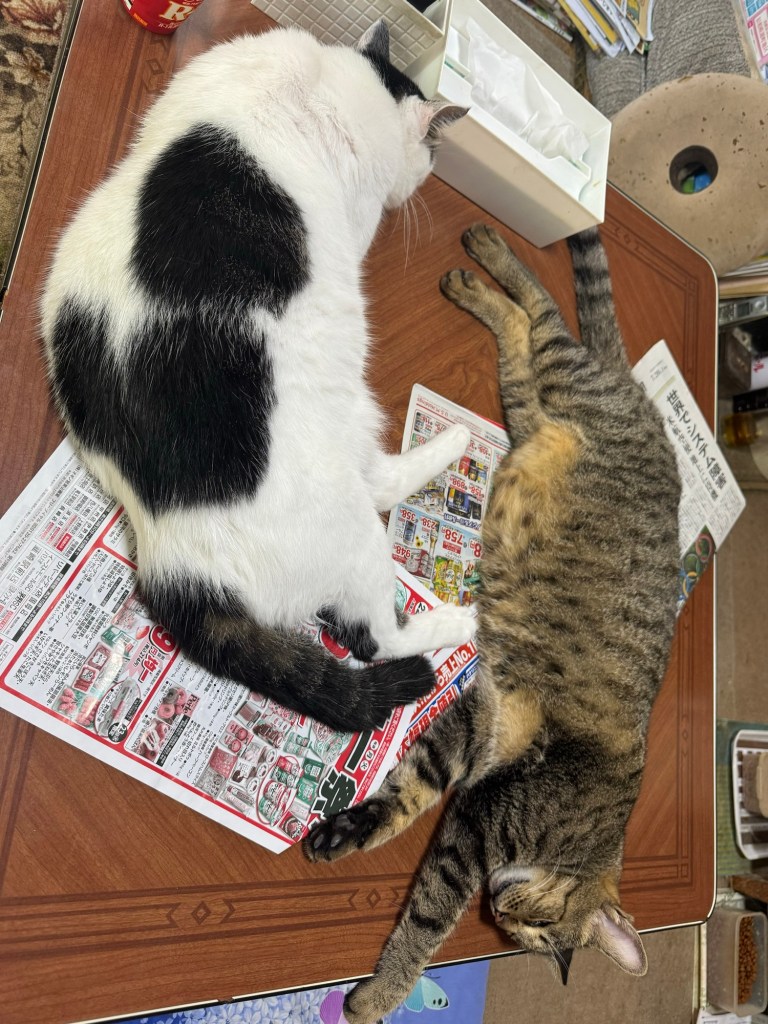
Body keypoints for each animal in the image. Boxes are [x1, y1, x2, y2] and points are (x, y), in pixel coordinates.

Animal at [40, 22, 473, 732]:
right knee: (376, 616)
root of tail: (172, 559)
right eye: (430, 152)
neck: (330, 83)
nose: (432, 171)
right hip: (352, 501)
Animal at [306, 224, 682, 1024]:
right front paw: (381, 996)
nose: (500, 916)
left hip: (531, 411)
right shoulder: (481, 818)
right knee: (545, 314)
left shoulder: (472, 732)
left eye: (529, 939)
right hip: (568, 382)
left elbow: (404, 796)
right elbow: (425, 922)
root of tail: (636, 391)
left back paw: (474, 282)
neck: (578, 849)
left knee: (522, 338)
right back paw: (486, 257)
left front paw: (349, 831)